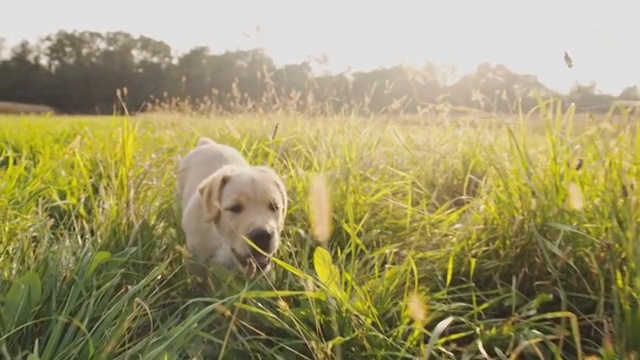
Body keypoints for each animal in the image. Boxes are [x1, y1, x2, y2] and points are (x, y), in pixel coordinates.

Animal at [174, 136, 286, 280]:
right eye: (234, 208)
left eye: (274, 206)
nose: (262, 235)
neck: (222, 241)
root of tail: (208, 143)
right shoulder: (195, 259)